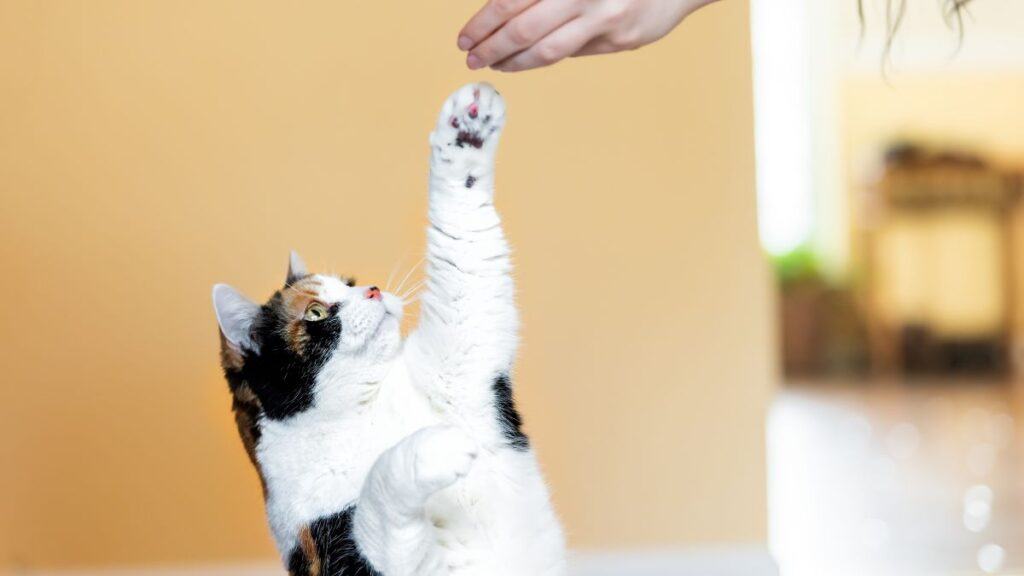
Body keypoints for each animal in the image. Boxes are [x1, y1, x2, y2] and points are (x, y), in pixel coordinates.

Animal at [210, 81, 565, 573]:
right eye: (315, 313)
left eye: (350, 283)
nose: (374, 291)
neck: (366, 408)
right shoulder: (333, 548)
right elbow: (376, 497)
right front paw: (435, 448)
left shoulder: (462, 352)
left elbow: (464, 241)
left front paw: (468, 126)